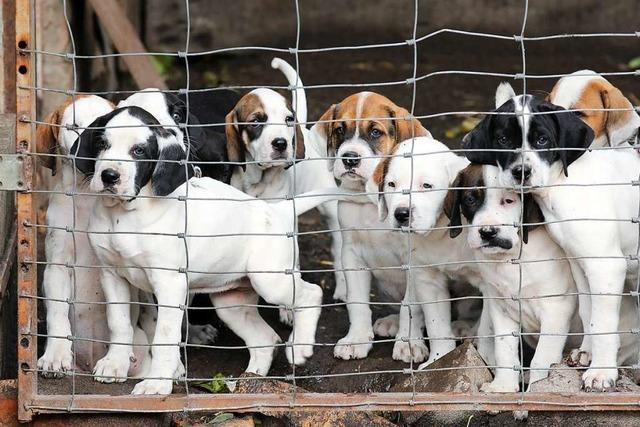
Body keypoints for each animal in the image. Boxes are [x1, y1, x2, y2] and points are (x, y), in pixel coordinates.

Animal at [72, 105, 340, 396]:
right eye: (102, 144)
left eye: (139, 151)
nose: (109, 176)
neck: (123, 215)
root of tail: (276, 211)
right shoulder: (112, 276)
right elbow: (119, 323)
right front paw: (115, 364)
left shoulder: (169, 284)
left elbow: (164, 336)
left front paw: (157, 383)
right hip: (232, 302)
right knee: (265, 339)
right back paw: (250, 382)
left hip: (270, 280)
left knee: (311, 294)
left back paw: (299, 347)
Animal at [225, 57, 344, 300]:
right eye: (256, 122)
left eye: (289, 120)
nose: (281, 143)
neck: (258, 179)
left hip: (329, 208)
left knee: (338, 248)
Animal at [320, 92, 436, 362]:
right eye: (339, 130)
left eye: (375, 132)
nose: (349, 158)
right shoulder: (352, 255)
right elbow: (357, 303)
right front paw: (357, 339)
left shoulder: (414, 261)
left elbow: (410, 307)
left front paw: (408, 343)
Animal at [462, 82, 640, 392]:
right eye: (503, 140)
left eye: (543, 140)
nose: (521, 172)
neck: (565, 185)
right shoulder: (580, 263)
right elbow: (589, 312)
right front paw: (587, 353)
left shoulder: (605, 266)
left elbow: (605, 322)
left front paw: (601, 372)